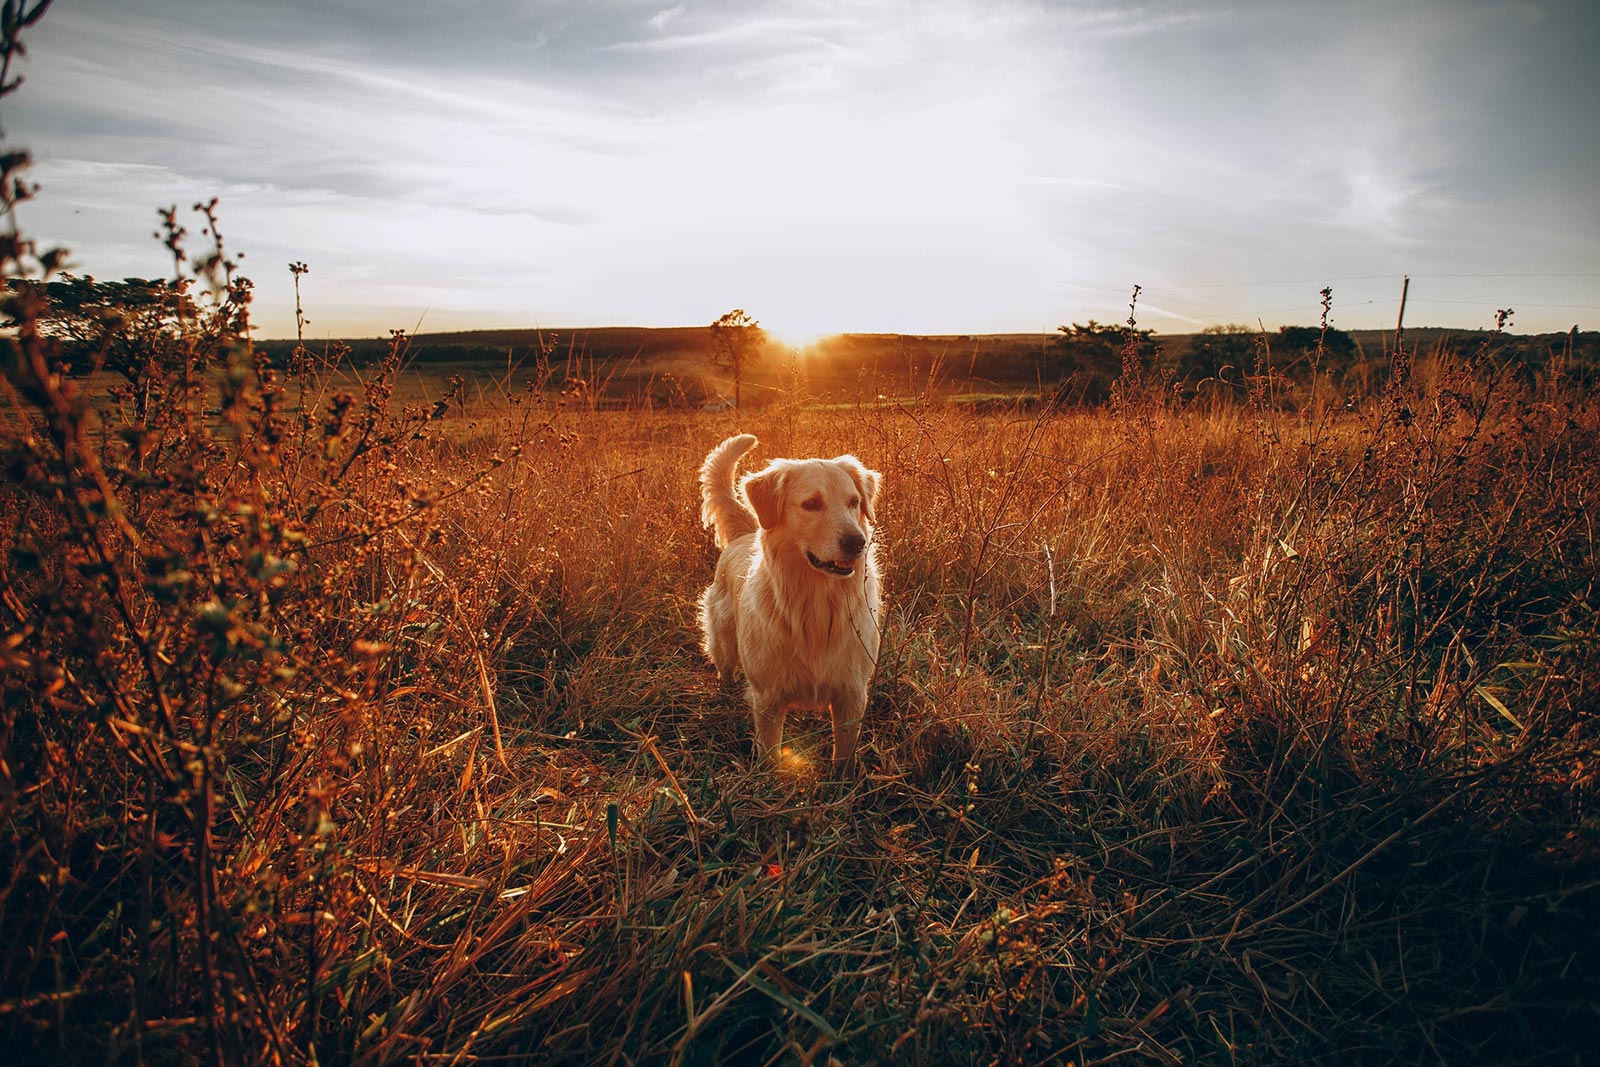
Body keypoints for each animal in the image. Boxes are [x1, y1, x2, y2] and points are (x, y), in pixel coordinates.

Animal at [694, 435, 883, 767]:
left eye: (854, 502)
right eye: (811, 504)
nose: (857, 543)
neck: (817, 604)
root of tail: (744, 534)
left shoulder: (851, 693)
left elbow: (844, 755)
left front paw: (842, 778)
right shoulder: (767, 699)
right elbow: (769, 755)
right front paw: (769, 777)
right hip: (724, 643)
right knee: (724, 670)